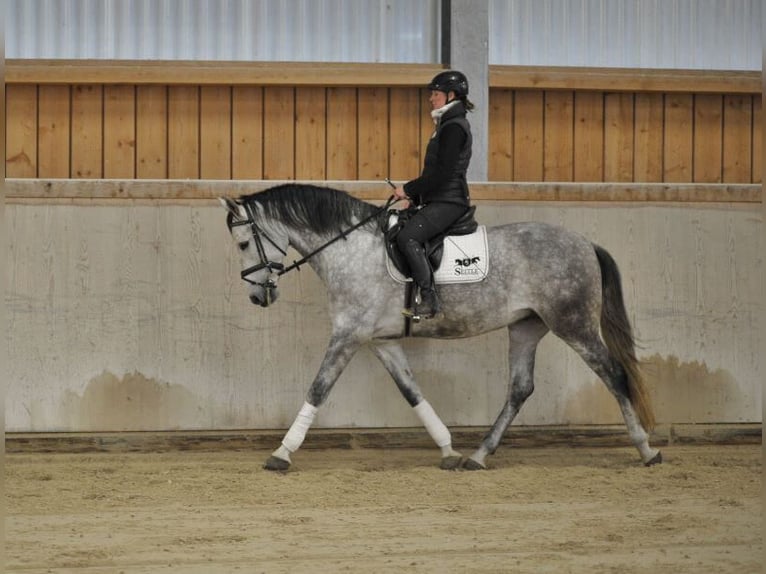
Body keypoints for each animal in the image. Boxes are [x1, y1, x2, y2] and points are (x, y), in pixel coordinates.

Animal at [220, 184, 660, 472]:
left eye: (243, 244)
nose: (257, 296)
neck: (350, 249)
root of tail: (585, 243)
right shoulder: (381, 341)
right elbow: (411, 391)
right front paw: (448, 450)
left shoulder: (348, 335)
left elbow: (318, 389)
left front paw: (282, 452)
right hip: (526, 327)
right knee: (520, 388)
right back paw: (479, 456)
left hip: (573, 323)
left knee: (613, 374)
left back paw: (646, 450)